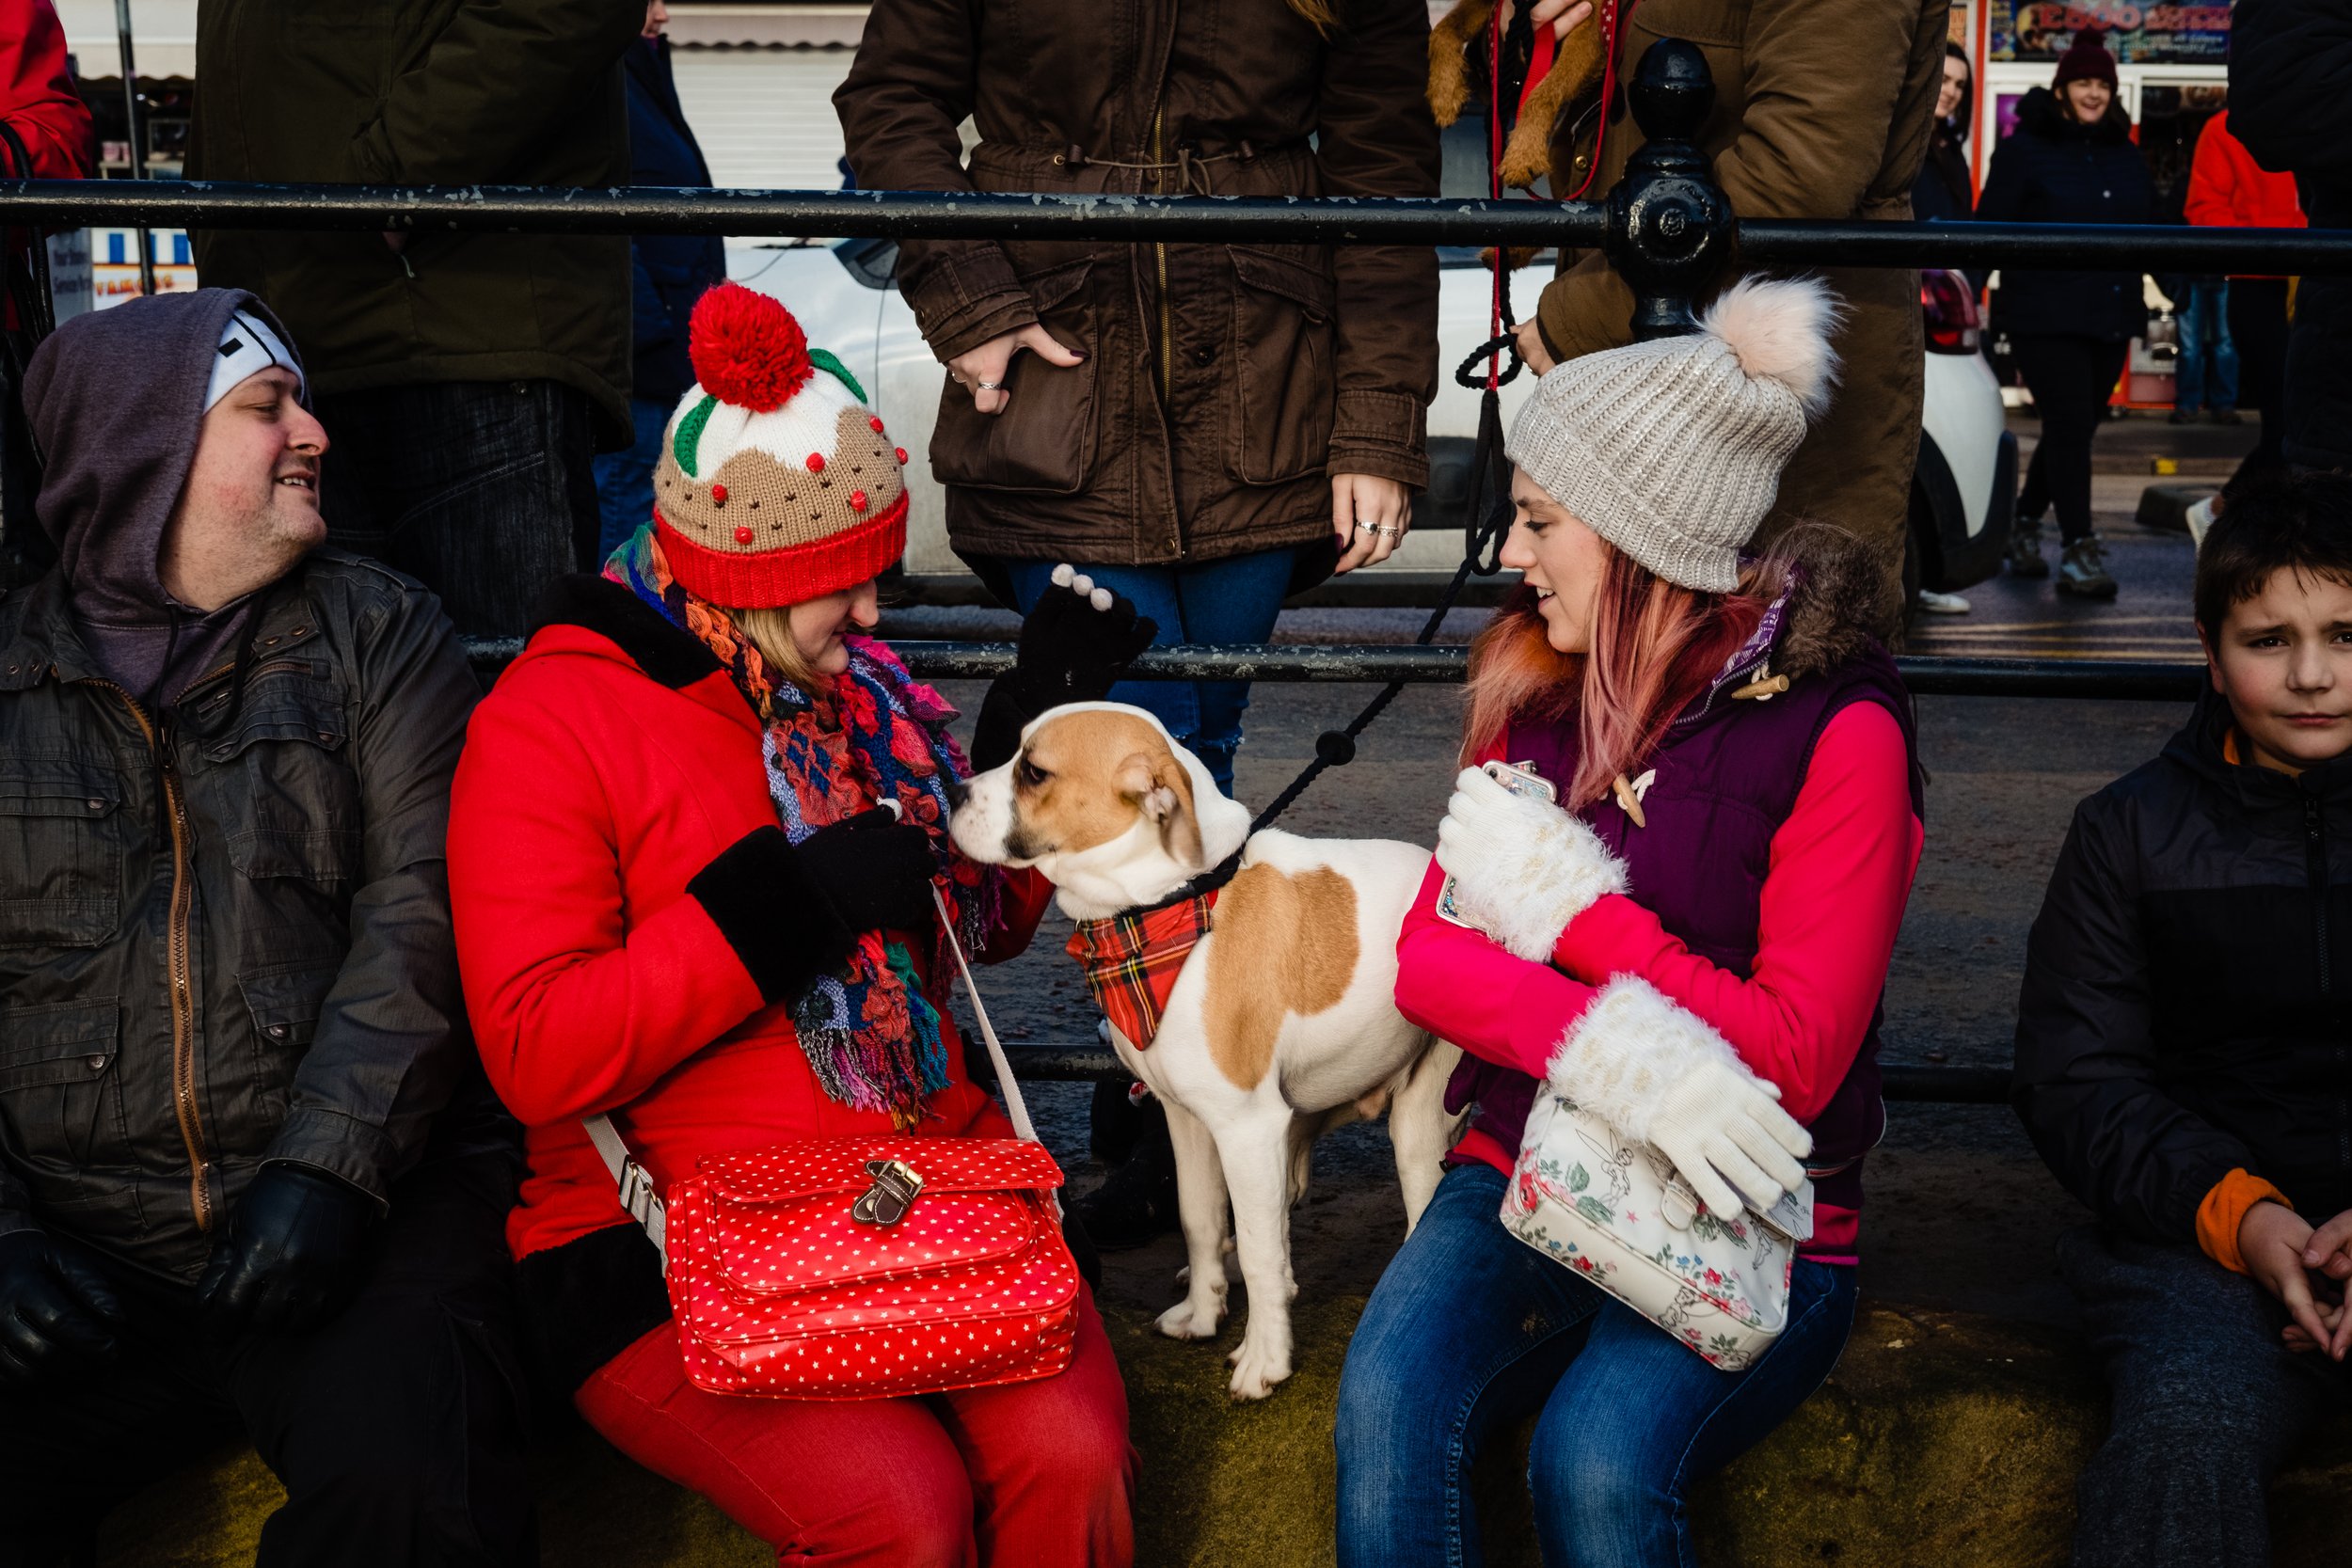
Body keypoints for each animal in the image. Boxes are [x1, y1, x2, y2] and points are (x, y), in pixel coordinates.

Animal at [950, 700, 1458, 1401]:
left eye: (1034, 771)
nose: (951, 792)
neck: (1166, 906)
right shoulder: (1186, 1118)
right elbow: (1199, 1219)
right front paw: (1203, 1312)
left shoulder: (1247, 1127)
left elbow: (1262, 1251)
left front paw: (1265, 1359)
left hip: (1420, 1114)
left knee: (1418, 1200)